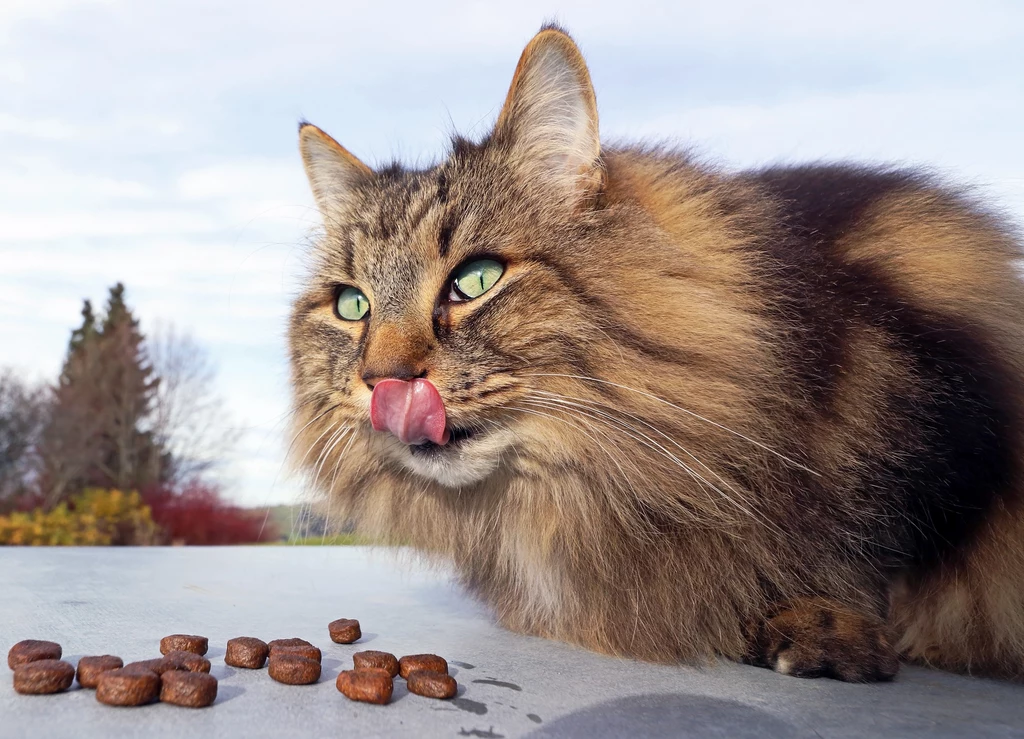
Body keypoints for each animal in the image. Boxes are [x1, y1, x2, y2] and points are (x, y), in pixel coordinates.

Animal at [288, 21, 1024, 679]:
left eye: (476, 278)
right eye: (352, 305)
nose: (383, 378)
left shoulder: (931, 413)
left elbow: (877, 555)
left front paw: (825, 625)